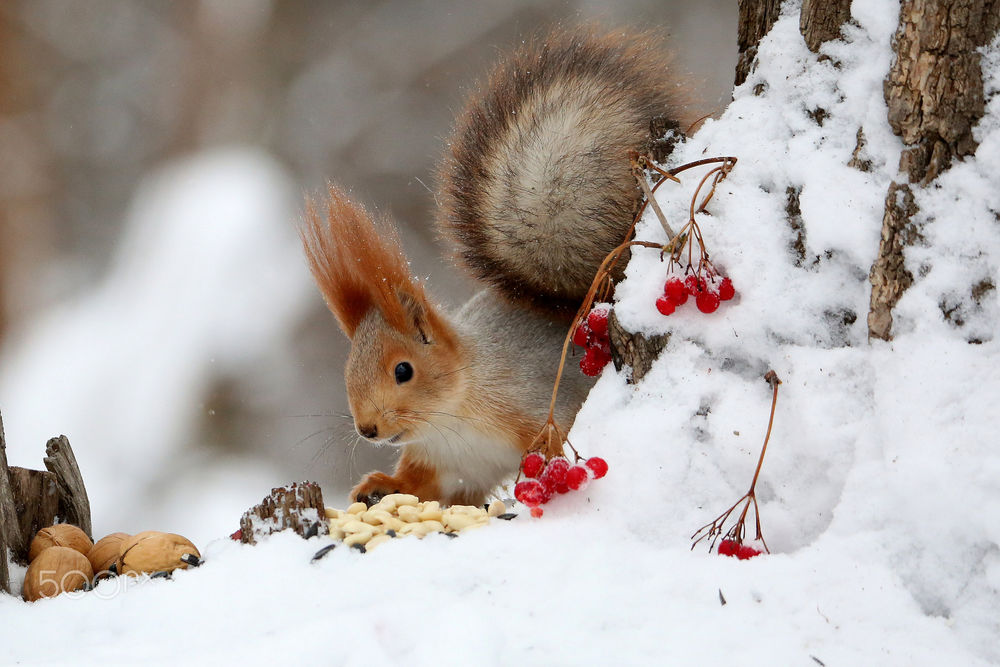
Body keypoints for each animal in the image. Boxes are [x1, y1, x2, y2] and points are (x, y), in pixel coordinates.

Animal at [302, 27, 696, 506]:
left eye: (403, 370)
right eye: (348, 370)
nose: (367, 429)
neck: (453, 414)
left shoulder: (533, 402)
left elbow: (556, 439)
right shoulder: (445, 462)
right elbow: (422, 487)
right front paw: (382, 485)